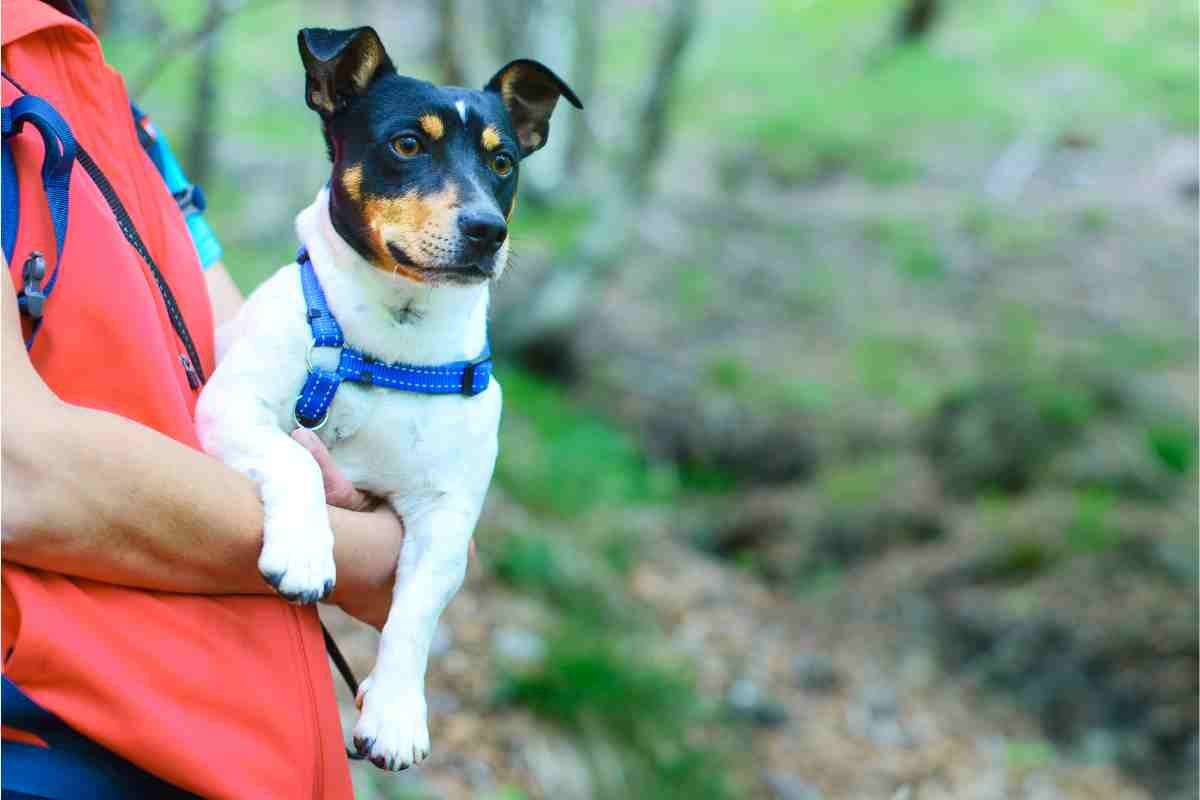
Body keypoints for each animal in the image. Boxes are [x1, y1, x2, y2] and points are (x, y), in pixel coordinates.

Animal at [195, 28, 580, 772]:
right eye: (406, 145)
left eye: (503, 162)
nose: (487, 230)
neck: (388, 348)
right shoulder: (230, 409)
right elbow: (298, 460)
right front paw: (306, 552)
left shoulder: (446, 516)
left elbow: (417, 613)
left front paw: (397, 711)